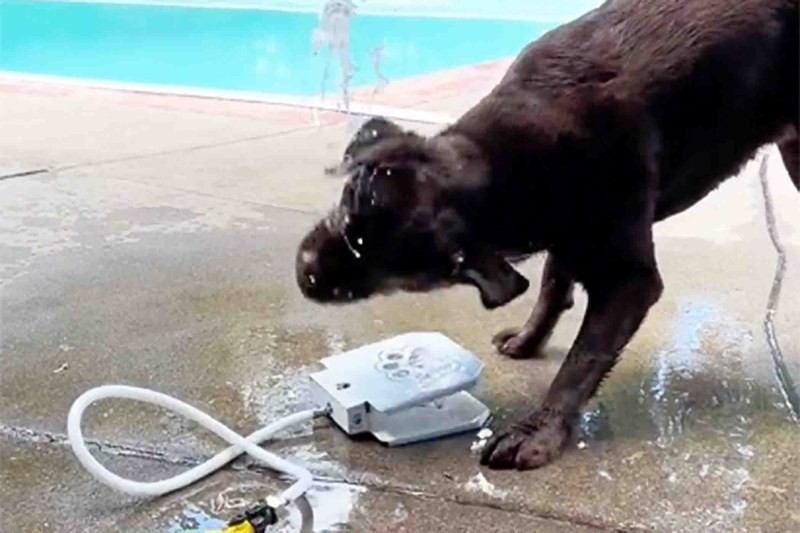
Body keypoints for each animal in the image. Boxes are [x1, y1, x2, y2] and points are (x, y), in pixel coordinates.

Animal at [296, 0, 800, 470]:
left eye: (389, 273)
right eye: (346, 208)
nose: (306, 276)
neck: (499, 171)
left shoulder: (629, 279)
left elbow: (581, 361)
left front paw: (539, 432)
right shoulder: (568, 233)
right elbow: (553, 287)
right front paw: (528, 339)